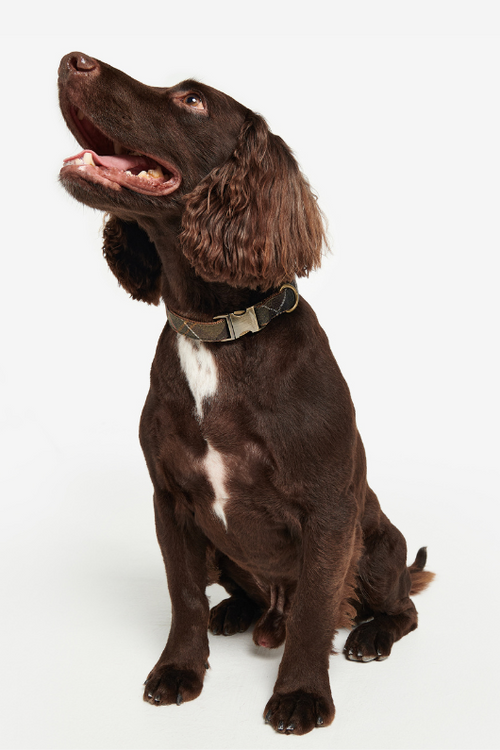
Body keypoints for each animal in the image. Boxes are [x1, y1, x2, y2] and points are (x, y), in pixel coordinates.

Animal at [58, 54, 434, 740]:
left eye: (192, 101)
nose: (72, 60)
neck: (219, 334)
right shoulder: (172, 501)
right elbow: (182, 596)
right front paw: (180, 669)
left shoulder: (329, 512)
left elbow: (315, 609)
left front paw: (302, 694)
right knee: (242, 595)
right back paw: (235, 612)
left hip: (377, 543)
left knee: (398, 606)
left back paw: (370, 635)